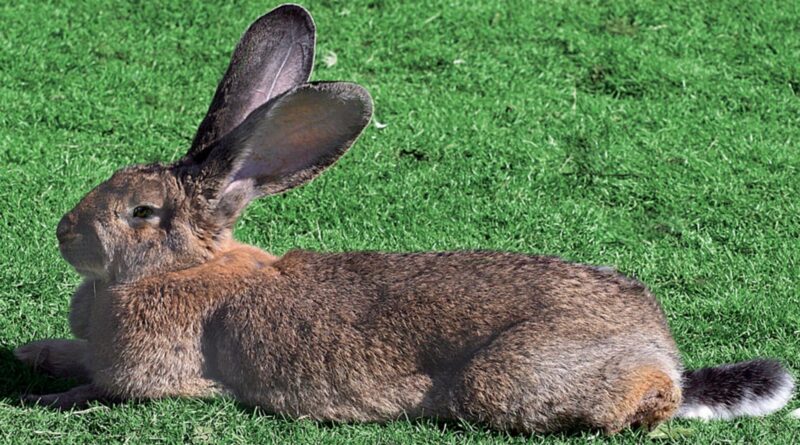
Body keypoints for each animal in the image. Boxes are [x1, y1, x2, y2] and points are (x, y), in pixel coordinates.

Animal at [12, 3, 792, 434]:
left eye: (142, 212)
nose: (63, 232)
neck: (182, 267)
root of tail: (661, 348)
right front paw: (33, 353)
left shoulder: (154, 380)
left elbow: (104, 389)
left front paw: (54, 398)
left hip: (508, 381)